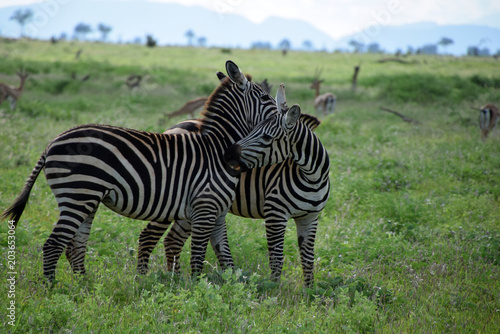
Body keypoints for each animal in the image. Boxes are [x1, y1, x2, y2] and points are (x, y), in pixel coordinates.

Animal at [0, 60, 282, 282]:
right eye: (266, 98)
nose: (288, 114)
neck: (217, 148)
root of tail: (52, 141)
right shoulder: (205, 207)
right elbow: (199, 256)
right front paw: (197, 289)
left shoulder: (217, 210)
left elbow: (225, 255)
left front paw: (229, 288)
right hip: (78, 195)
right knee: (54, 245)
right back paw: (54, 291)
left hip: (86, 199)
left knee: (76, 246)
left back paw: (85, 288)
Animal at [139, 85, 330, 286]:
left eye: (266, 136)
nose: (227, 154)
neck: (312, 177)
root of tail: (175, 126)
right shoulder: (275, 214)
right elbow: (277, 258)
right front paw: (273, 289)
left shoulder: (310, 217)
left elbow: (308, 259)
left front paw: (309, 290)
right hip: (167, 200)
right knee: (148, 237)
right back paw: (144, 280)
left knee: (172, 240)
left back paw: (173, 280)